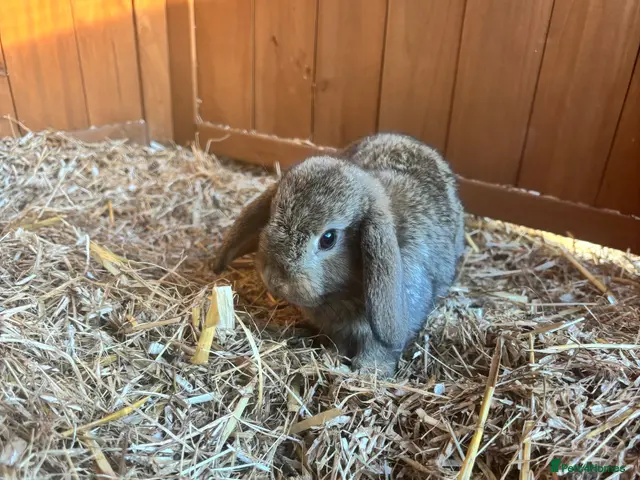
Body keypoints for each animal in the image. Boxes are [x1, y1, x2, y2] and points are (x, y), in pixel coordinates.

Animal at [212, 132, 465, 377]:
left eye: (328, 238)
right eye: (271, 216)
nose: (274, 280)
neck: (342, 293)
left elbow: (379, 350)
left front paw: (368, 372)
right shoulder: (337, 331)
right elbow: (339, 344)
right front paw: (332, 358)